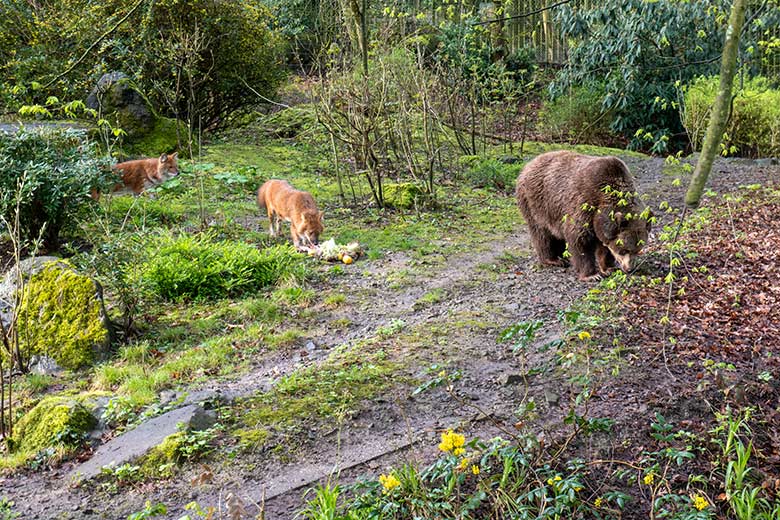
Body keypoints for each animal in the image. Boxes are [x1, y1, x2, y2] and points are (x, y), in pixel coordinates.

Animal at [516, 149, 652, 280]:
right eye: (624, 250)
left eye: (638, 250)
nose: (629, 268)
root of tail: (528, 164)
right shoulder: (584, 205)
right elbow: (579, 239)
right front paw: (591, 275)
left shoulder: (601, 223)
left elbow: (604, 246)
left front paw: (608, 267)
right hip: (537, 202)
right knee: (542, 233)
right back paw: (553, 259)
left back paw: (562, 257)